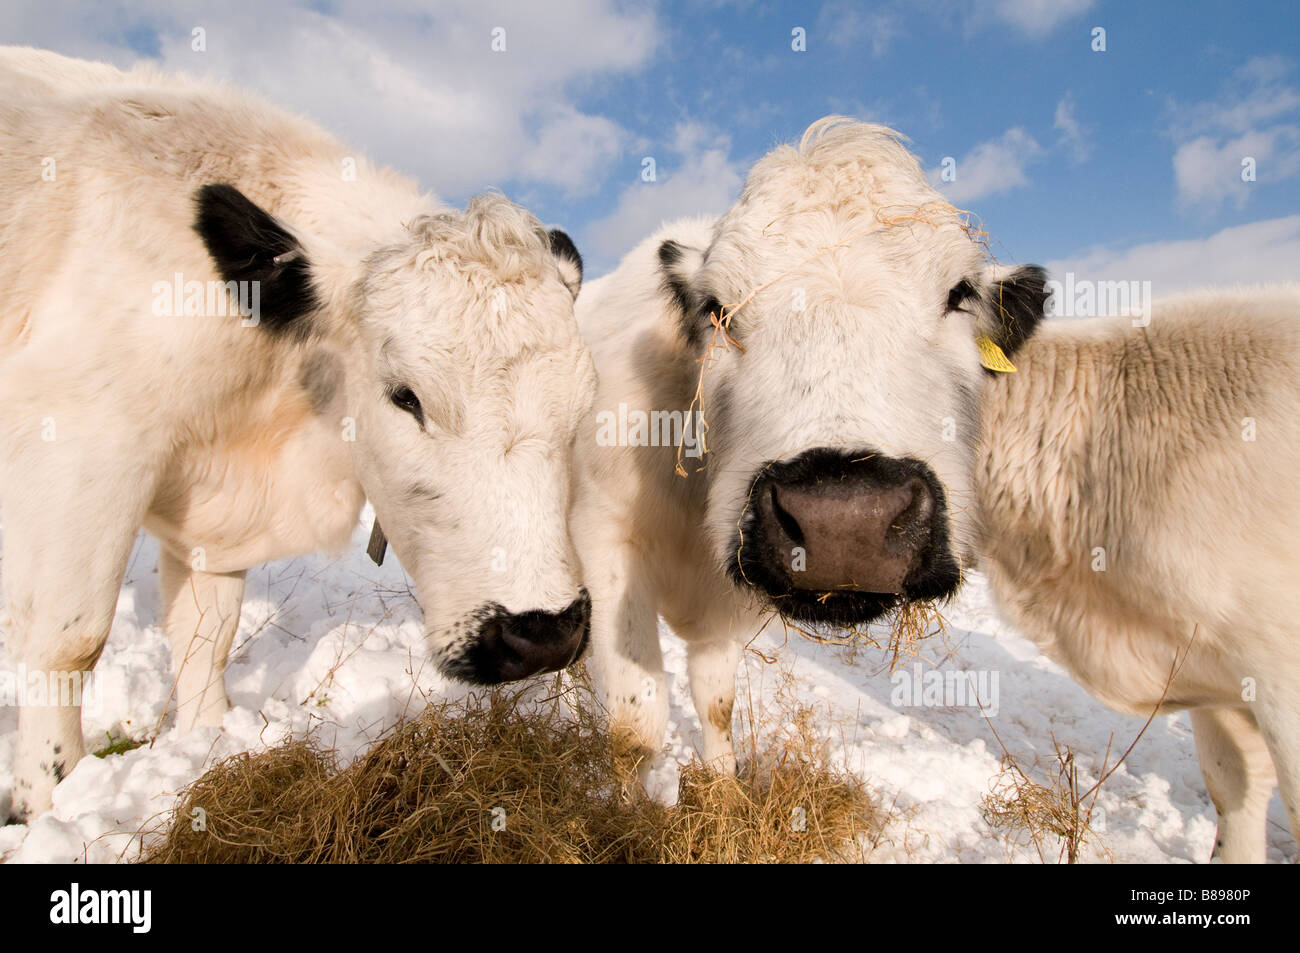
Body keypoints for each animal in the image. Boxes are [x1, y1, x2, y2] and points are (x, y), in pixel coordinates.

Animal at [0, 48, 598, 816]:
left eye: (579, 409)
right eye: (405, 397)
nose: (544, 633)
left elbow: (206, 631)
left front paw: (208, 744)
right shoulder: (80, 445)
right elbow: (69, 638)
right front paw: (50, 797)